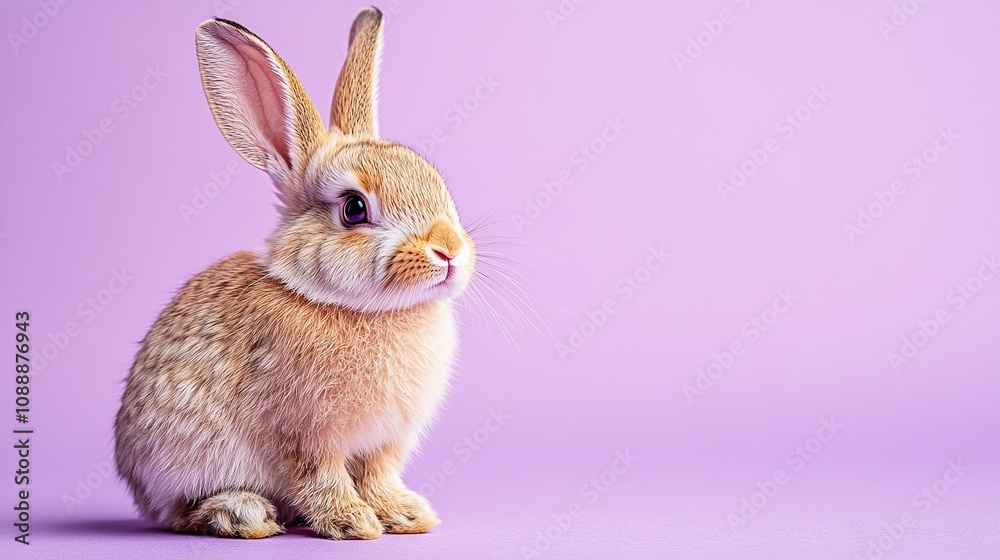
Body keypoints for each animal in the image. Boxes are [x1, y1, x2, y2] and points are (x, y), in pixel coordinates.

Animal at [113, 7, 475, 540]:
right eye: (353, 209)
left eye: (435, 183)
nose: (448, 251)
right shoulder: (303, 434)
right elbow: (321, 478)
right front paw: (353, 524)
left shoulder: (383, 443)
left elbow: (378, 476)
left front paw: (406, 515)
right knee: (184, 513)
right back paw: (243, 514)